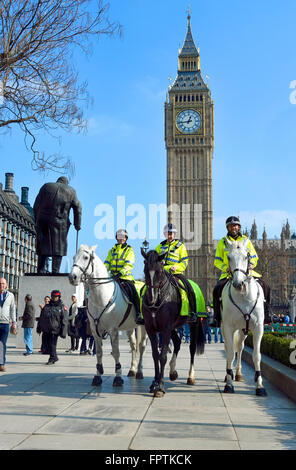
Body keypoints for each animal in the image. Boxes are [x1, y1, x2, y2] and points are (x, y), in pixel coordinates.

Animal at [69, 246, 148, 386]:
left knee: (141, 346)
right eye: (73, 257)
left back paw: (139, 371)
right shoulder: (95, 330)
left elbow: (116, 352)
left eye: (86, 257)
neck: (101, 296)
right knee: (133, 346)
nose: (72, 277)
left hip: (143, 326)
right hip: (130, 327)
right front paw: (98, 375)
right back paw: (132, 370)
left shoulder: (113, 330)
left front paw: (118, 376)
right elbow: (99, 352)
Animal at [221, 239, 268, 396]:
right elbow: (230, 353)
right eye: (228, 257)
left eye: (246, 256)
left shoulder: (258, 327)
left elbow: (257, 355)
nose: (238, 284)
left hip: (243, 329)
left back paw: (238, 374)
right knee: (230, 348)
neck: (243, 296)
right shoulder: (228, 326)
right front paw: (229, 384)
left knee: (240, 347)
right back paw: (228, 374)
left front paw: (260, 385)